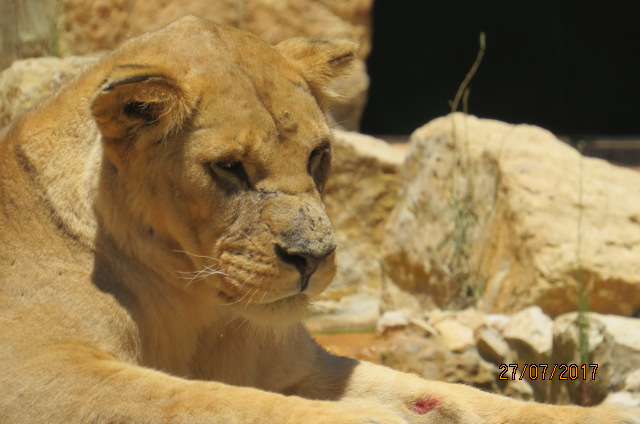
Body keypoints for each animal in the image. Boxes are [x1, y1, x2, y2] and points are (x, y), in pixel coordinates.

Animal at [0, 16, 636, 424]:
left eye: (317, 156)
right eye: (229, 168)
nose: (312, 259)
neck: (191, 305)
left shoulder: (294, 367)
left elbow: (452, 396)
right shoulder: (42, 375)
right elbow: (213, 403)